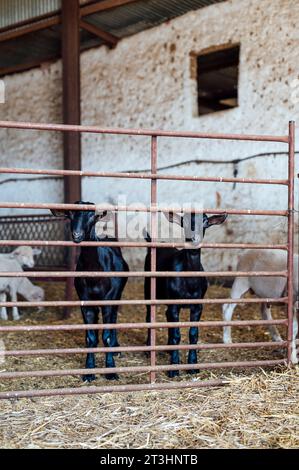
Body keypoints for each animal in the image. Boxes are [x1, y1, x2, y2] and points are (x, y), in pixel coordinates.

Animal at [51, 200, 129, 380]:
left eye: (92, 216)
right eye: (70, 215)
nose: (77, 234)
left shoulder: (108, 299)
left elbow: (107, 336)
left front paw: (111, 370)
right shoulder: (85, 301)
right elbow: (90, 338)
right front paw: (89, 370)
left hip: (117, 295)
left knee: (114, 318)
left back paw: (116, 348)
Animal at [145, 213, 227, 378]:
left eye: (205, 222)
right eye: (185, 222)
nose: (193, 238)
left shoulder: (197, 305)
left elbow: (193, 334)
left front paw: (193, 366)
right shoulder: (175, 304)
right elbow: (177, 335)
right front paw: (174, 368)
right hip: (148, 288)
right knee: (149, 316)